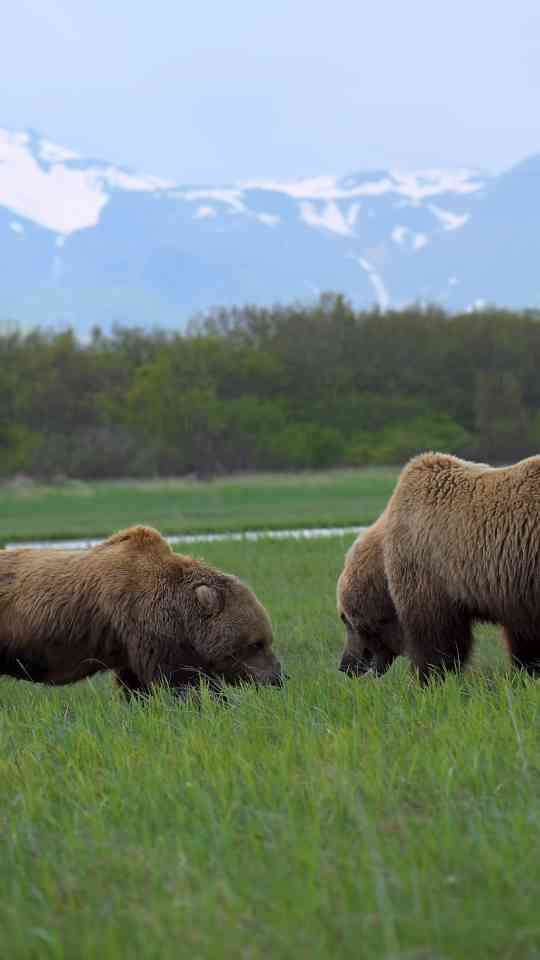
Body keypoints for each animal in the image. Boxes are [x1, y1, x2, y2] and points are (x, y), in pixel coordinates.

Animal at [0, 525, 284, 698]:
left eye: (267, 638)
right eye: (256, 643)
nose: (278, 678)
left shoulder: (128, 643)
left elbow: (135, 683)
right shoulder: (146, 624)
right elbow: (181, 680)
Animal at [338, 453, 540, 684]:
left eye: (345, 618)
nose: (345, 665)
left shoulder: (428, 569)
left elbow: (434, 637)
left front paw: (426, 678)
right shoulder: (516, 588)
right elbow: (525, 640)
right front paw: (528, 673)